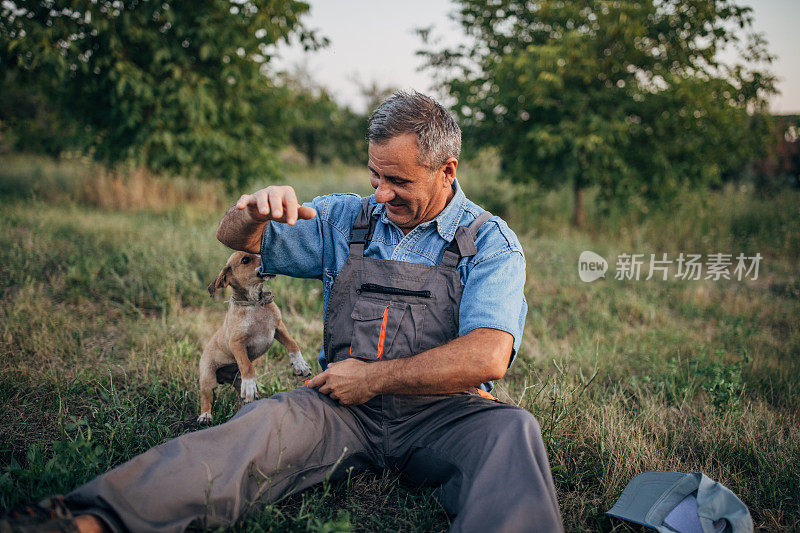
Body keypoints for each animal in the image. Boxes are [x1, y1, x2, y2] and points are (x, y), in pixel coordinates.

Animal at [198, 251, 310, 422]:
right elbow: (247, 365)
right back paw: (205, 416)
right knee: (206, 398)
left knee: (241, 392)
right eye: (245, 260)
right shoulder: (236, 343)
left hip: (237, 381)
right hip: (207, 378)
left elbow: (292, 344)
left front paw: (300, 364)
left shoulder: (278, 327)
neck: (254, 304)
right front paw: (250, 384)